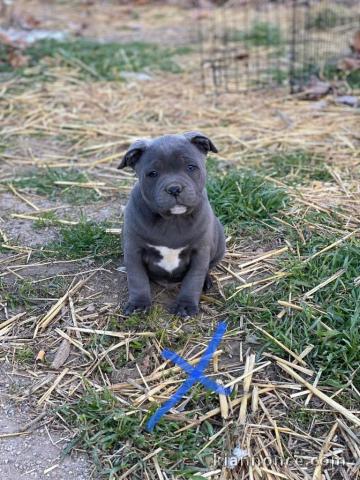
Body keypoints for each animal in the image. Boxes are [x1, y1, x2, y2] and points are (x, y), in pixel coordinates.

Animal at [118, 132, 225, 318]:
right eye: (152, 173)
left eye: (191, 167)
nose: (174, 188)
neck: (172, 220)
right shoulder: (133, 250)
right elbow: (137, 279)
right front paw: (139, 305)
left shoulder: (200, 252)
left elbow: (193, 280)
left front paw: (186, 305)